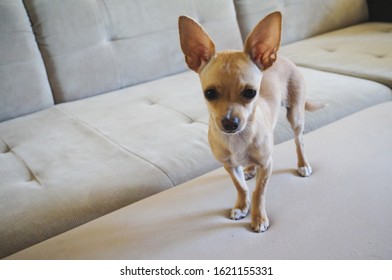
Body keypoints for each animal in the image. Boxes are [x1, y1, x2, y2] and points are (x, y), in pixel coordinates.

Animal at [179, 11, 320, 232]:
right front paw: (241, 206)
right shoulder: (228, 166)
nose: (230, 123)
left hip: (295, 116)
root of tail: (282, 58)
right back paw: (249, 169)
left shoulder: (267, 164)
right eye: (209, 93)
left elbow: (258, 192)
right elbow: (241, 187)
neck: (238, 139)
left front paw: (259, 218)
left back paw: (303, 164)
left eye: (251, 93)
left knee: (300, 141)